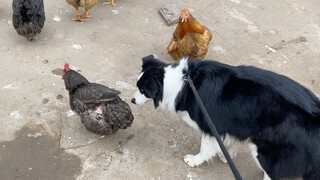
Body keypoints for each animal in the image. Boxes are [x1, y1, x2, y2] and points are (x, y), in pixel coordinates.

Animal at [131, 54, 320, 180]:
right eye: (138, 85)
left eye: (142, 90)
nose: (132, 100)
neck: (182, 82)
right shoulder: (233, 122)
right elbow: (229, 140)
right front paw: (226, 154)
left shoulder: (210, 123)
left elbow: (205, 147)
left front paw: (195, 160)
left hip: (267, 151)